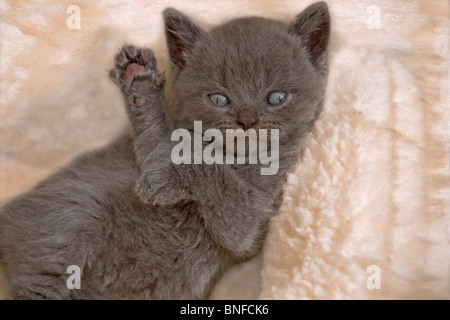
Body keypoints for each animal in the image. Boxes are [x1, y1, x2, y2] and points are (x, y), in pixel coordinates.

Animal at [0, 1, 330, 300]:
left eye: (276, 97)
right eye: (218, 99)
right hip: (74, 215)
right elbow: (175, 147)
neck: (236, 158)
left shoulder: (253, 220)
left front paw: (167, 175)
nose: (247, 122)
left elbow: (219, 181)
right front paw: (142, 89)